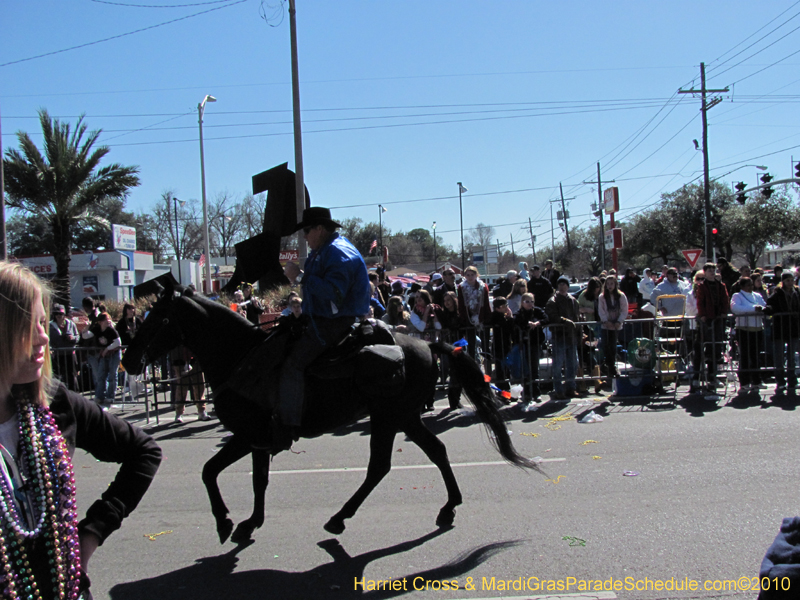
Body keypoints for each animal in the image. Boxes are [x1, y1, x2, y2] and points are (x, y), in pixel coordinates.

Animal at [122, 284, 544, 548]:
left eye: (157, 319)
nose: (129, 360)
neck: (241, 357)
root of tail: (426, 345)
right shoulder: (258, 439)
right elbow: (256, 481)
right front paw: (249, 523)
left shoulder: (247, 435)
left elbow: (210, 471)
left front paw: (226, 521)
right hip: (404, 417)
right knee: (434, 452)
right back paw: (448, 505)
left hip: (389, 418)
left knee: (380, 466)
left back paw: (341, 517)